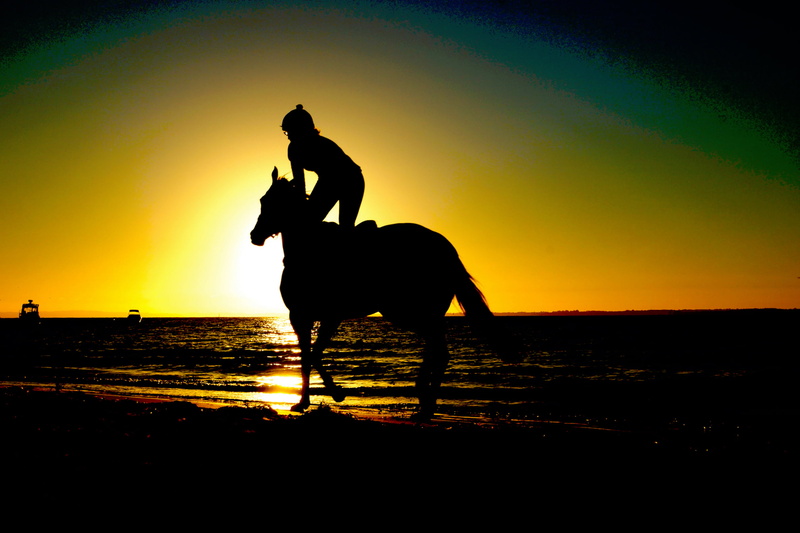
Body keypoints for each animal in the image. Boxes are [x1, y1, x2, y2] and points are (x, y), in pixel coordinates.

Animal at [250, 166, 520, 420]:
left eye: (272, 203)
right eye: (263, 200)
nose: (255, 236)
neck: (308, 250)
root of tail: (448, 250)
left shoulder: (323, 316)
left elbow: (313, 355)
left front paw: (335, 393)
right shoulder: (303, 317)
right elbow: (307, 357)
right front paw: (303, 402)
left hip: (408, 311)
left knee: (439, 350)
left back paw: (425, 403)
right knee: (437, 349)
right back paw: (425, 403)